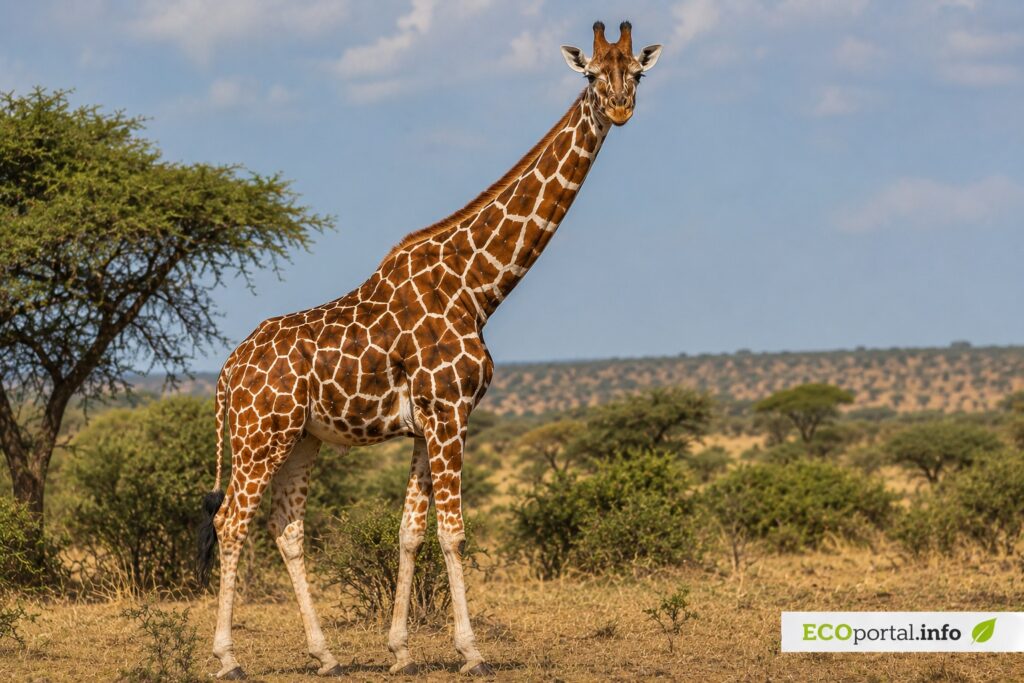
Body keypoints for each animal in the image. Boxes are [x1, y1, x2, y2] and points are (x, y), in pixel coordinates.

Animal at [196, 20, 662, 680]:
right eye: (594, 75)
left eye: (637, 73)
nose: (620, 108)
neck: (478, 287)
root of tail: (225, 373)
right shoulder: (449, 413)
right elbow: (453, 533)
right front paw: (471, 652)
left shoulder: (427, 423)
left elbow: (411, 533)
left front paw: (399, 651)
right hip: (260, 434)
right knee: (231, 522)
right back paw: (228, 657)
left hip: (301, 437)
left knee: (286, 525)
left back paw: (325, 654)